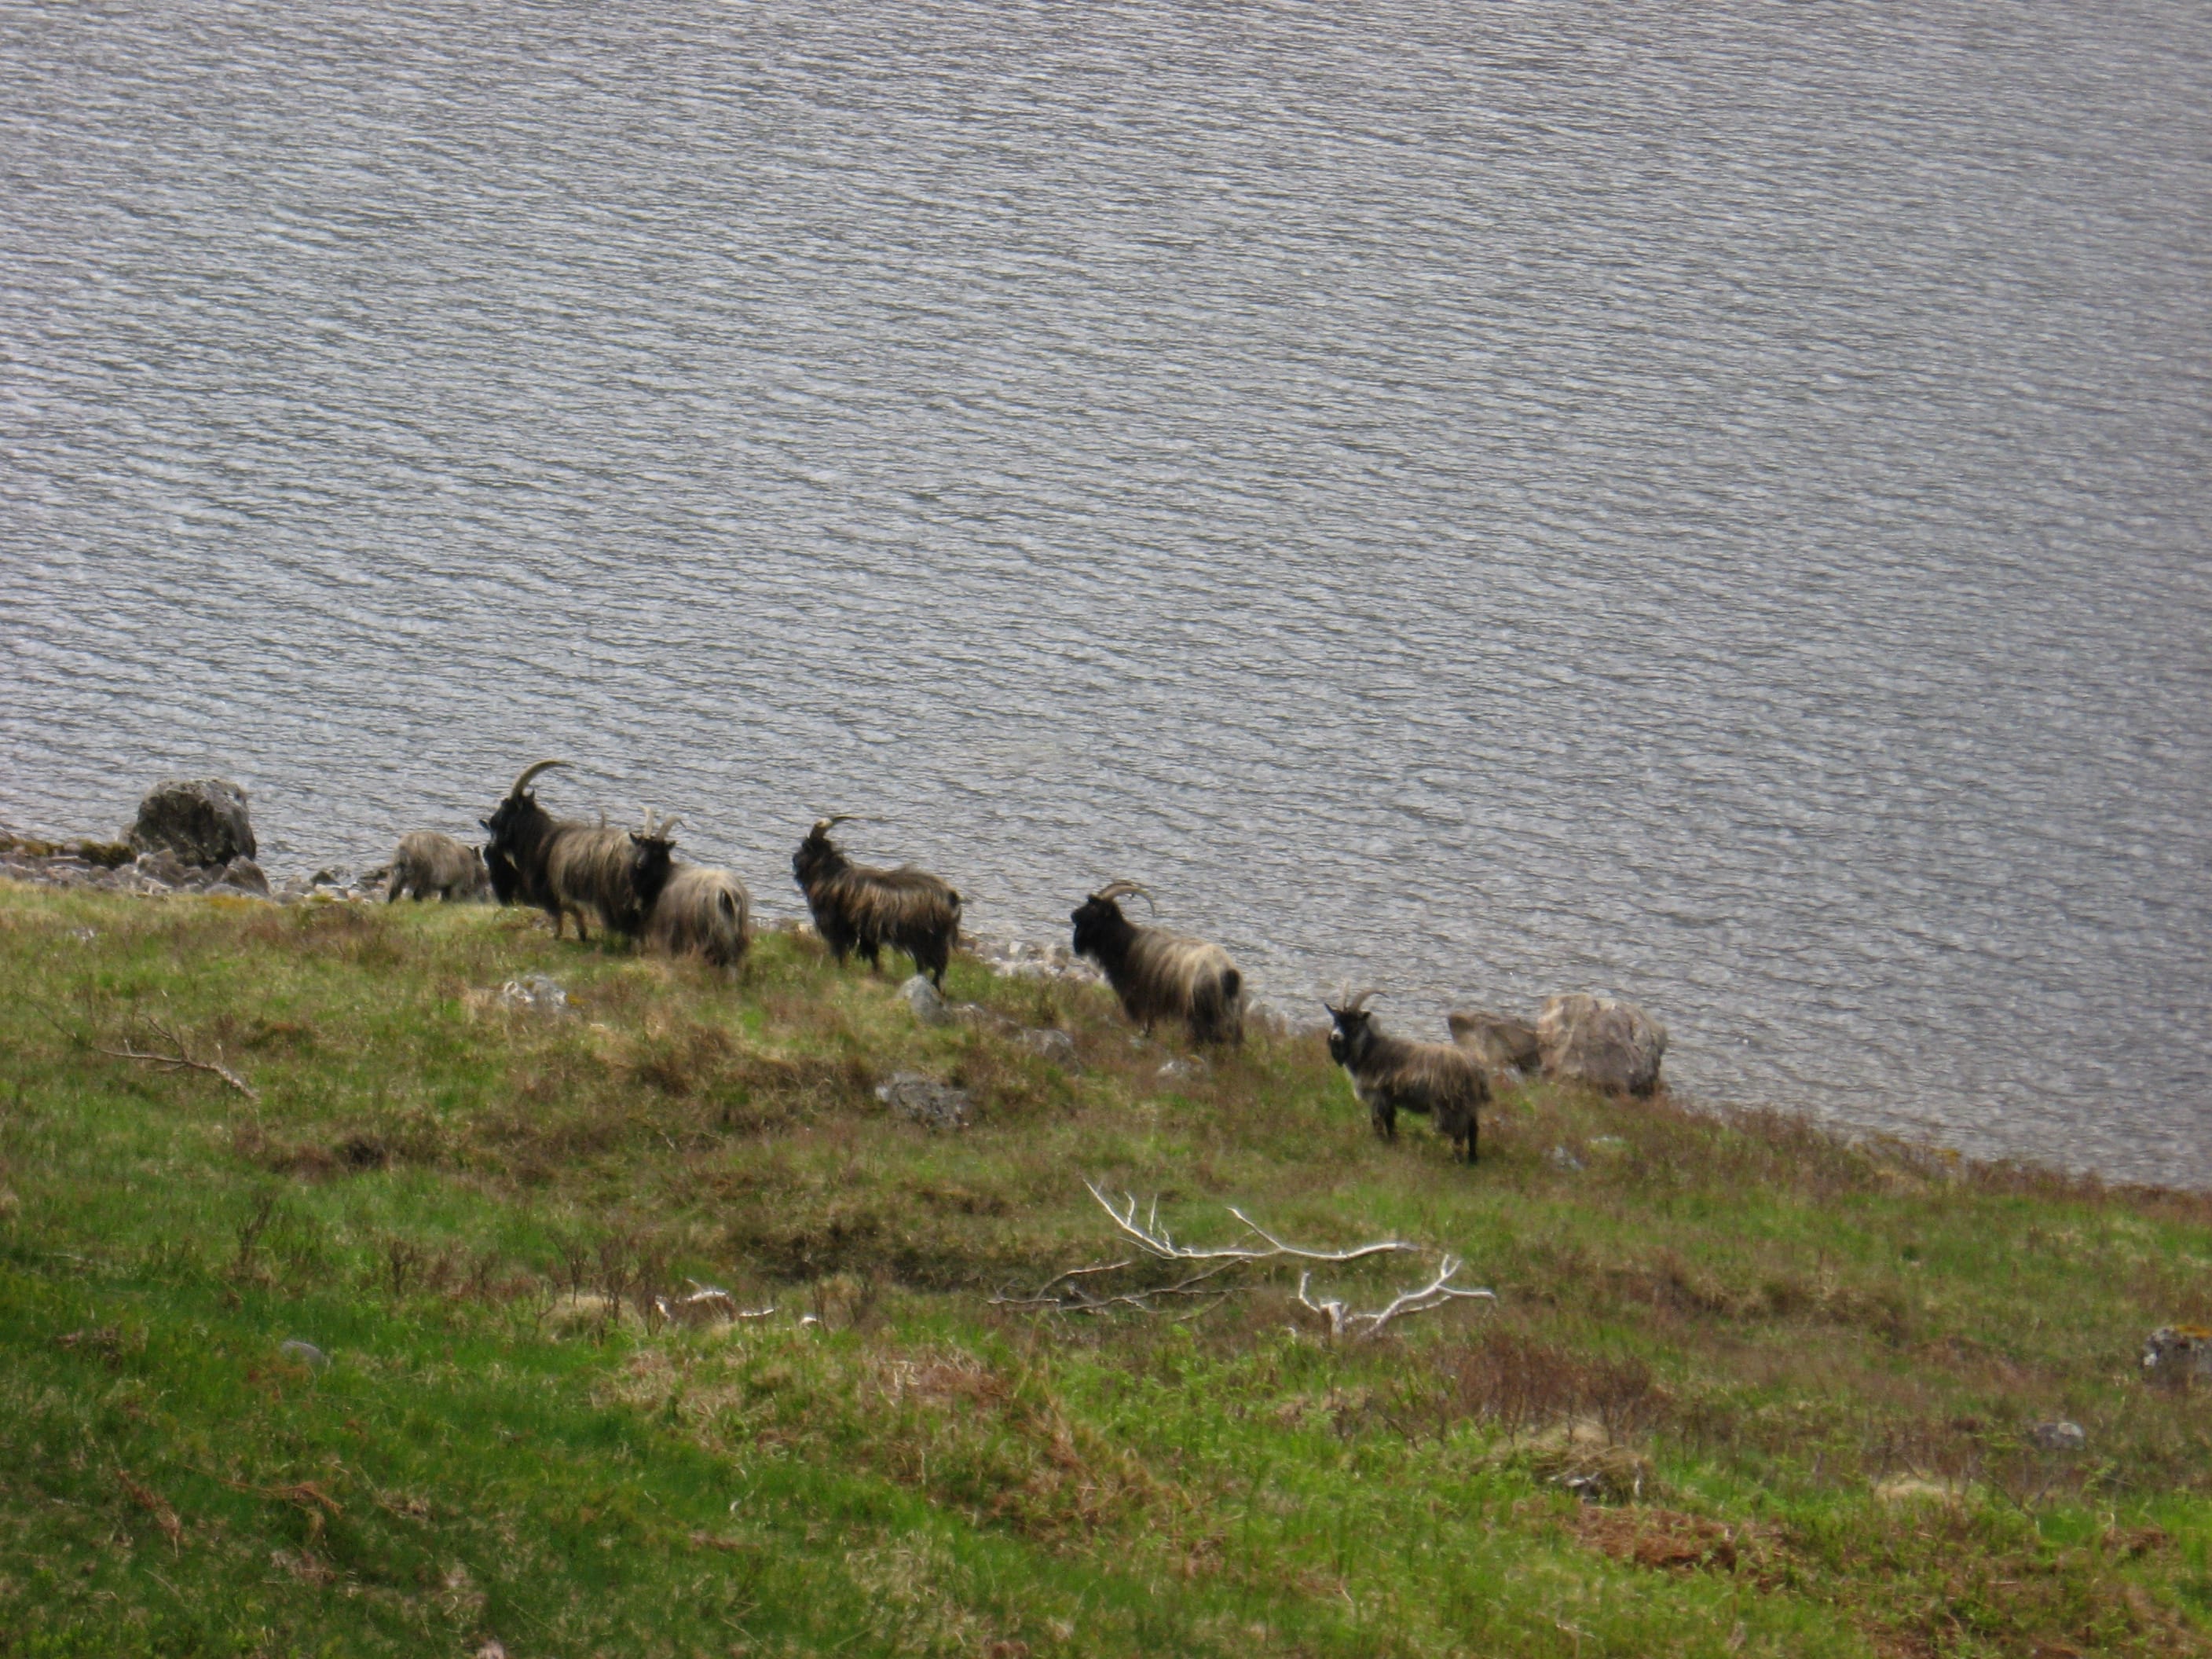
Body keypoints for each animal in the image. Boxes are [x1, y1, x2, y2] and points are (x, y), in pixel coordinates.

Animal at [385, 831, 490, 903]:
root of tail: (405, 847)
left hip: (398, 868)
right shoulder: (459, 880)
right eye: (484, 874)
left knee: (394, 887)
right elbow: (455, 893)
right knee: (418, 892)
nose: (485, 895)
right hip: (424, 872)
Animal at [480, 760, 677, 942]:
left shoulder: (551, 889)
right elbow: (573, 911)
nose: (491, 823)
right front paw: (582, 935)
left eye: (506, 807)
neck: (541, 837)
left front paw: (558, 935)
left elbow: (559, 913)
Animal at [791, 816, 963, 988]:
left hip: (929, 939)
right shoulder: (867, 933)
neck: (832, 874)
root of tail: (952, 895)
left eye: (805, 846)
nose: (794, 859)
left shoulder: (841, 926)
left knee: (936, 965)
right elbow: (873, 955)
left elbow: (844, 951)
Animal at [1069, 880, 1244, 1045]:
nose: (1073, 914)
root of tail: (1228, 972)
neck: (1128, 944)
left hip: (1203, 1014)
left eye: (1095, 907)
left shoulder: (1140, 1000)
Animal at [1325, 989, 1486, 1165]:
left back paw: (1458, 1159)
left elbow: (1377, 1121)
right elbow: (1390, 1121)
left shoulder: (1378, 1095)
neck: (1369, 1051)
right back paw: (1472, 1160)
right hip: (1468, 1104)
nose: (1335, 1036)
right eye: (1335, 1019)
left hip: (1452, 1105)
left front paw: (1380, 1143)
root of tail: (1474, 1067)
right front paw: (1392, 1143)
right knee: (1473, 1128)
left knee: (1460, 1132)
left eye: (1353, 1021)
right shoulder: (1388, 1097)